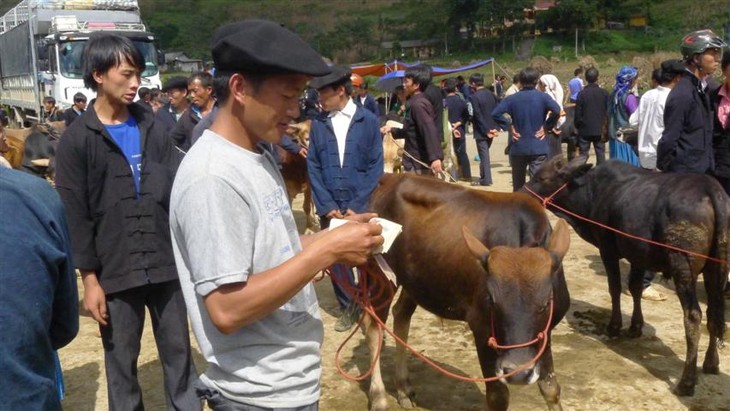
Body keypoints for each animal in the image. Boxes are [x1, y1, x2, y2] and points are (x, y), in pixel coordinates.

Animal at [362, 175, 572, 411]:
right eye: (492, 301)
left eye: (546, 303)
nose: (517, 371)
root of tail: (390, 178)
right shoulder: (481, 330)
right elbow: (498, 397)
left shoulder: (546, 332)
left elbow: (551, 389)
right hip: (379, 274)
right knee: (373, 327)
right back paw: (379, 397)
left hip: (414, 280)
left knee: (401, 316)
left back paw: (403, 387)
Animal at [524, 156, 728, 398]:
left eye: (542, 178)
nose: (522, 192)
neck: (594, 191)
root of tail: (711, 189)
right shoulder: (639, 254)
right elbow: (635, 287)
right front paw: (635, 327)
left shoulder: (608, 249)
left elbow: (614, 287)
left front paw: (614, 326)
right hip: (716, 270)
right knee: (714, 313)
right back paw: (711, 362)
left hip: (683, 267)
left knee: (694, 316)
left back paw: (686, 382)